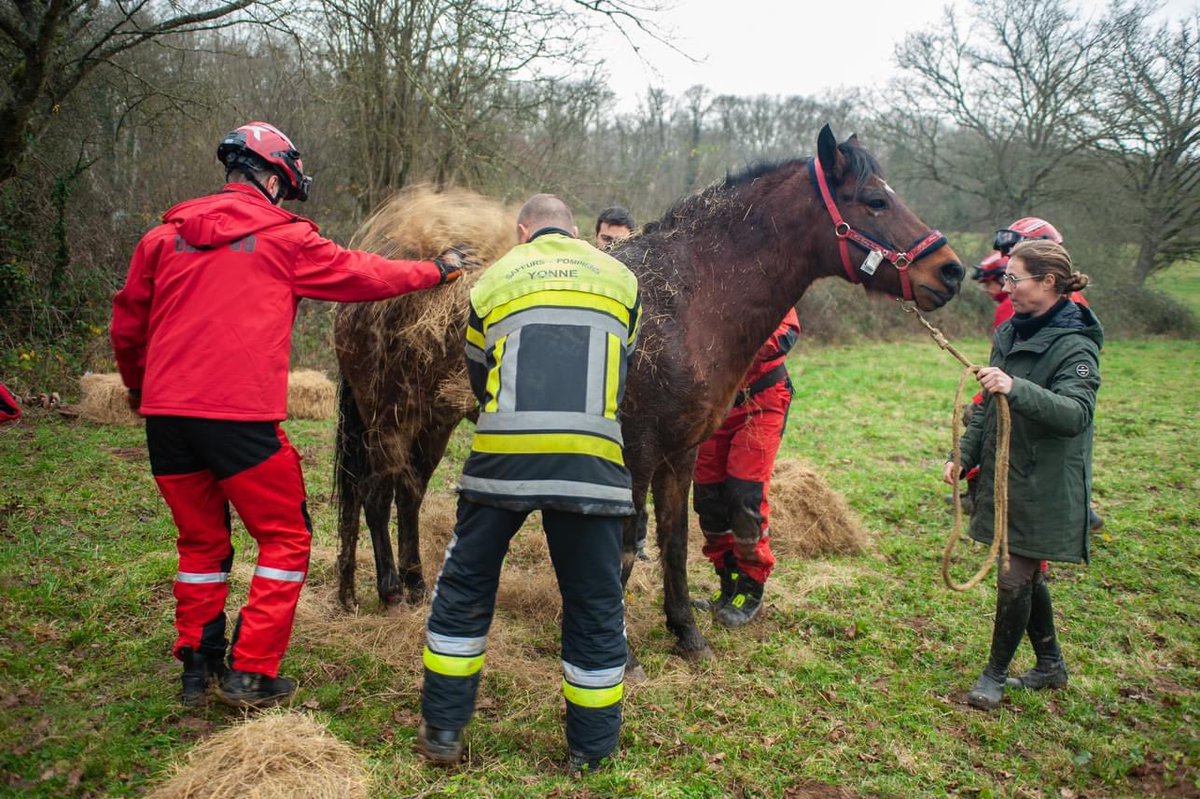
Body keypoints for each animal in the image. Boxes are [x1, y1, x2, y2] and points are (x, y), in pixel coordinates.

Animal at [333, 125, 964, 662]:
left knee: (407, 494)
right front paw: (622, 651)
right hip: (387, 417)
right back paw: (388, 590)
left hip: (431, 420)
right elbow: (623, 544)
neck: (688, 298)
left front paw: (686, 633)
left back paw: (409, 585)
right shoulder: (634, 450)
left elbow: (675, 540)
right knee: (376, 495)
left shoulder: (679, 453)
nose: (951, 271)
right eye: (874, 201)